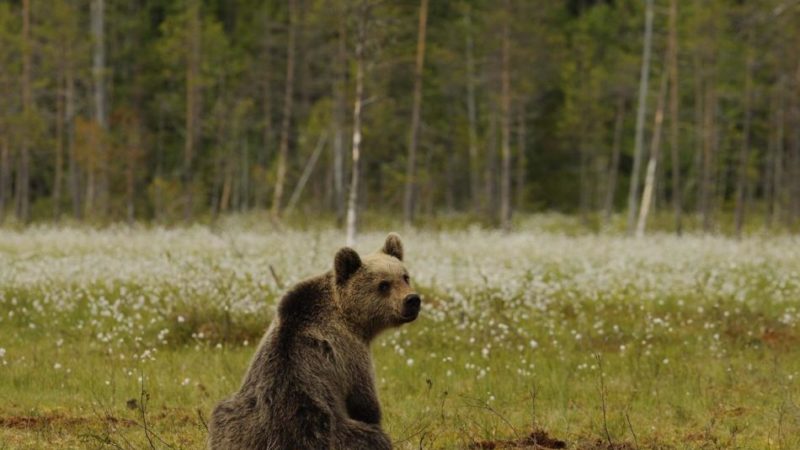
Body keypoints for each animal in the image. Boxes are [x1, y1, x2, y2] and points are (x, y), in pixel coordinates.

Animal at [208, 233, 421, 450]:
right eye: (383, 285)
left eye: (405, 277)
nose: (412, 300)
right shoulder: (351, 352)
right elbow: (365, 402)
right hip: (325, 430)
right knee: (370, 438)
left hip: (237, 420)